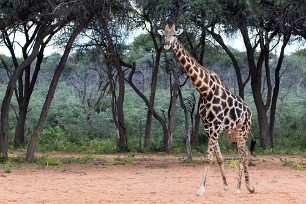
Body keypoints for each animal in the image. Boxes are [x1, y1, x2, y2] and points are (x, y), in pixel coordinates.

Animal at [159, 24, 255, 196]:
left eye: (175, 35)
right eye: (164, 34)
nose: (167, 44)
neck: (205, 90)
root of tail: (250, 111)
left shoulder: (215, 126)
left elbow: (209, 158)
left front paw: (201, 189)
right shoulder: (208, 127)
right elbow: (219, 158)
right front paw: (225, 187)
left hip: (243, 129)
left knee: (242, 154)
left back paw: (239, 188)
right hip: (232, 132)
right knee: (245, 153)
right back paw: (249, 187)